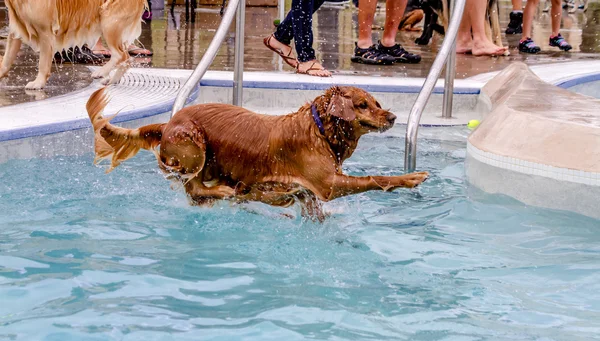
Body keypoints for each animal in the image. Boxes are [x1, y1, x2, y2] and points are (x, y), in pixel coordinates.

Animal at [86, 83, 428, 219]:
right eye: (361, 105)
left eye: (376, 103)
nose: (393, 117)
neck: (318, 131)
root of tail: (167, 123)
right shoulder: (327, 185)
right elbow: (375, 179)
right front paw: (412, 177)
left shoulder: (311, 192)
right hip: (194, 145)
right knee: (195, 186)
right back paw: (228, 192)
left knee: (198, 191)